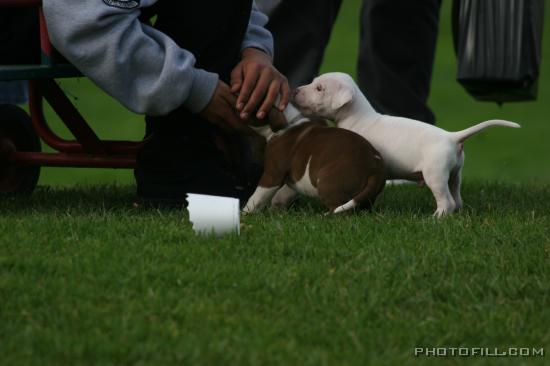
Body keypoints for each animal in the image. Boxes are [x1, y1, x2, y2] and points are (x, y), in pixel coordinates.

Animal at [244, 103, 386, 213]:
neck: (288, 122)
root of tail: (375, 169)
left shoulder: (272, 176)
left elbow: (257, 197)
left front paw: (245, 213)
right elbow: (284, 192)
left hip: (327, 182)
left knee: (340, 210)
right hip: (365, 197)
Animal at [294, 72, 520, 217]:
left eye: (319, 88)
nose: (295, 90)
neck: (357, 115)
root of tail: (452, 137)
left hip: (435, 175)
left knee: (446, 202)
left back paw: (436, 218)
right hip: (455, 175)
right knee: (457, 198)